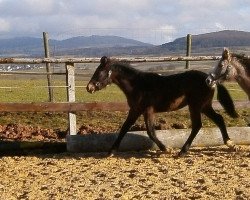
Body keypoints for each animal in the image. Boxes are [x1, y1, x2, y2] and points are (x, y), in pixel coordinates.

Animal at [86, 56, 238, 156]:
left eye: (100, 72)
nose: (89, 87)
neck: (138, 85)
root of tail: (210, 79)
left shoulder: (148, 110)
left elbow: (150, 132)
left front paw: (167, 149)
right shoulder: (135, 110)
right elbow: (124, 128)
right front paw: (111, 151)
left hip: (195, 106)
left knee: (197, 125)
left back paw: (182, 152)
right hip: (204, 106)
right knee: (219, 119)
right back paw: (230, 144)